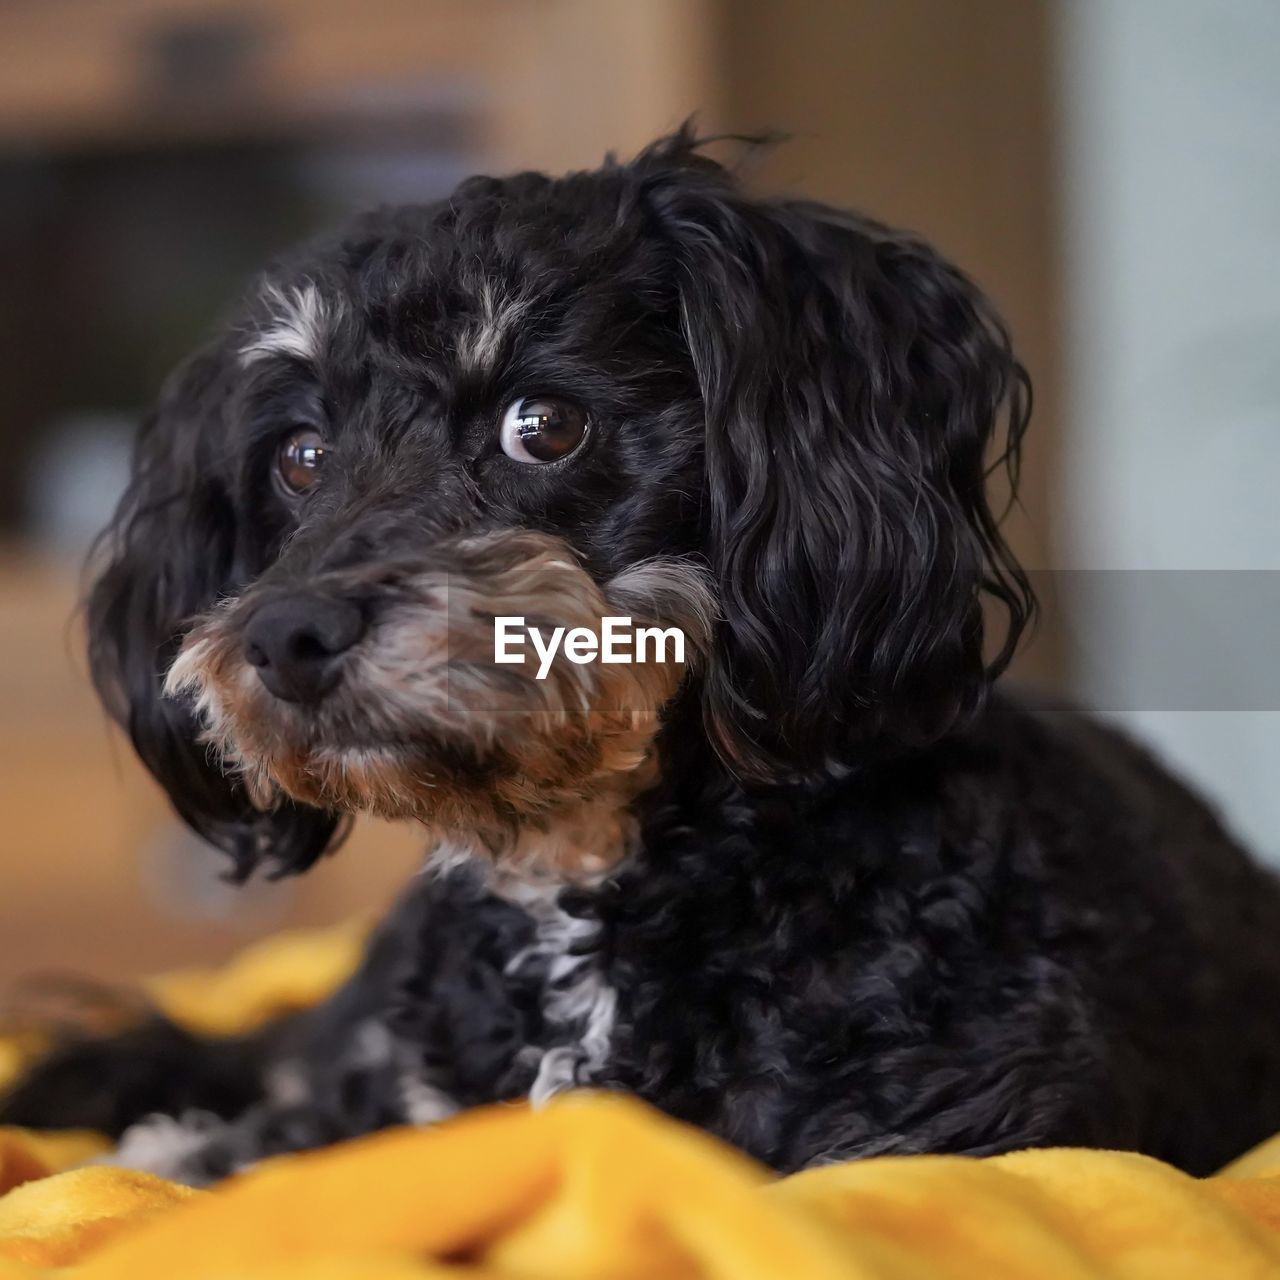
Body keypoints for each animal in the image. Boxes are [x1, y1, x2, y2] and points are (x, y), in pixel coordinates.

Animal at [2, 124, 1280, 1182]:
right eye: (300, 456)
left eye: (543, 424)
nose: (283, 634)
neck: (584, 877)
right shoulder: (394, 1097)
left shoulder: (964, 1138)